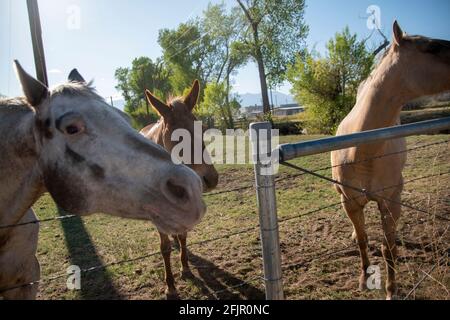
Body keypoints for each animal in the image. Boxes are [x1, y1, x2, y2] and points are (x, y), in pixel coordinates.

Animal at [140, 79, 219, 298]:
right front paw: (171, 286)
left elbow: (183, 237)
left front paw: (185, 269)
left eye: (202, 129)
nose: (211, 179)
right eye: (176, 137)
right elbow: (164, 248)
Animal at [330, 22, 450, 300]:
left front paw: (390, 290)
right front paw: (364, 279)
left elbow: (389, 249)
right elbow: (363, 239)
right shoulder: (349, 201)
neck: (362, 152)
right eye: (432, 47)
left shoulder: (391, 201)